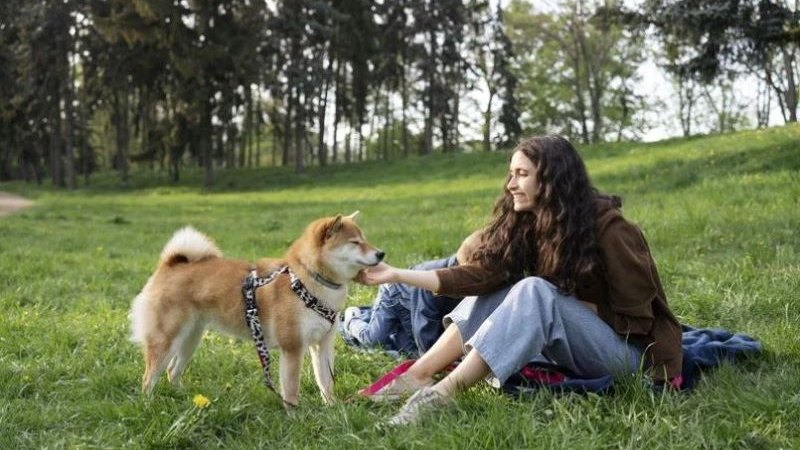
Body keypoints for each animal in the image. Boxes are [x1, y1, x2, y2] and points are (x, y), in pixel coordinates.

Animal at [129, 213, 384, 406]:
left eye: (365, 239)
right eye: (355, 242)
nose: (381, 253)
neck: (307, 280)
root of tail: (170, 265)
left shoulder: (322, 345)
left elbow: (326, 382)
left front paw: (332, 408)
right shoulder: (293, 347)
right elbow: (291, 388)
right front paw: (295, 415)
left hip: (190, 339)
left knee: (173, 370)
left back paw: (182, 397)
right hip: (166, 340)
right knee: (149, 377)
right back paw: (149, 404)